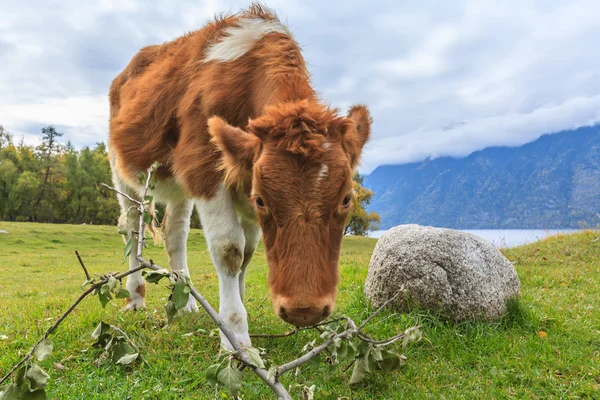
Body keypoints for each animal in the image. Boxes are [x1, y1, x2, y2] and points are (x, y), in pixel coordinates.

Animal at [108, 4, 370, 348]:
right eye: (262, 200)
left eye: (346, 199)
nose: (305, 310)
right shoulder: (203, 168)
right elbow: (230, 250)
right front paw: (235, 333)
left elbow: (247, 253)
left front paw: (237, 311)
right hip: (123, 171)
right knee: (131, 228)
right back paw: (136, 296)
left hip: (179, 184)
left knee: (174, 233)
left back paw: (184, 301)